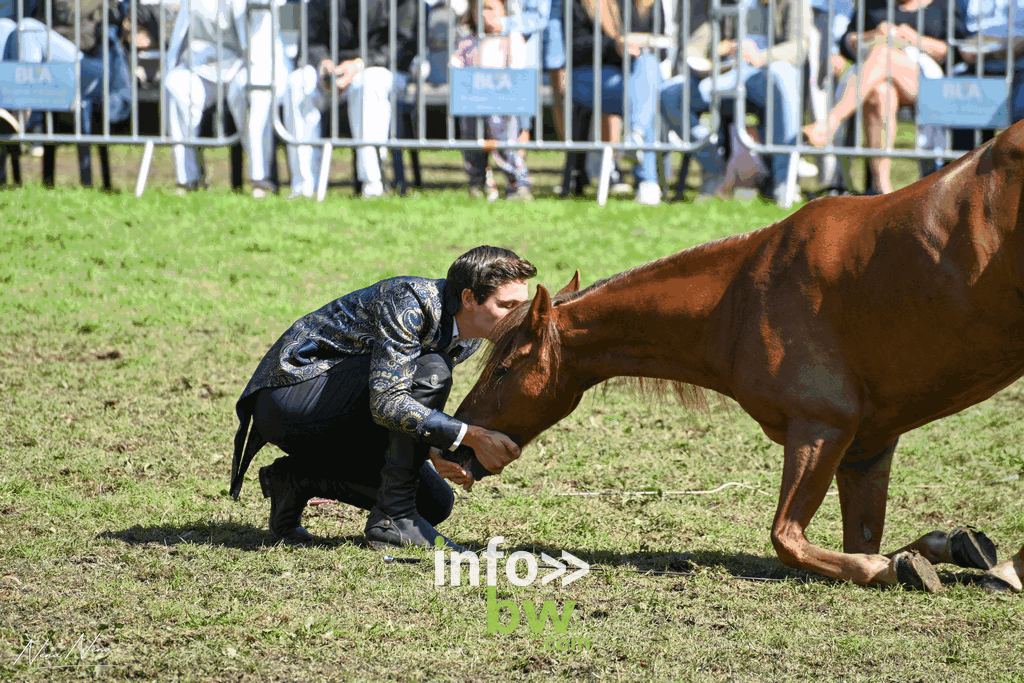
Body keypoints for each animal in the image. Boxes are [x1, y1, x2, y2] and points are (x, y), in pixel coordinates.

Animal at [454, 122, 1024, 593]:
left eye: (502, 369)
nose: (458, 440)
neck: (741, 298)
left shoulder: (822, 429)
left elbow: (789, 539)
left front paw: (896, 567)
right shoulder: (868, 448)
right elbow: (869, 540)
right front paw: (946, 548)